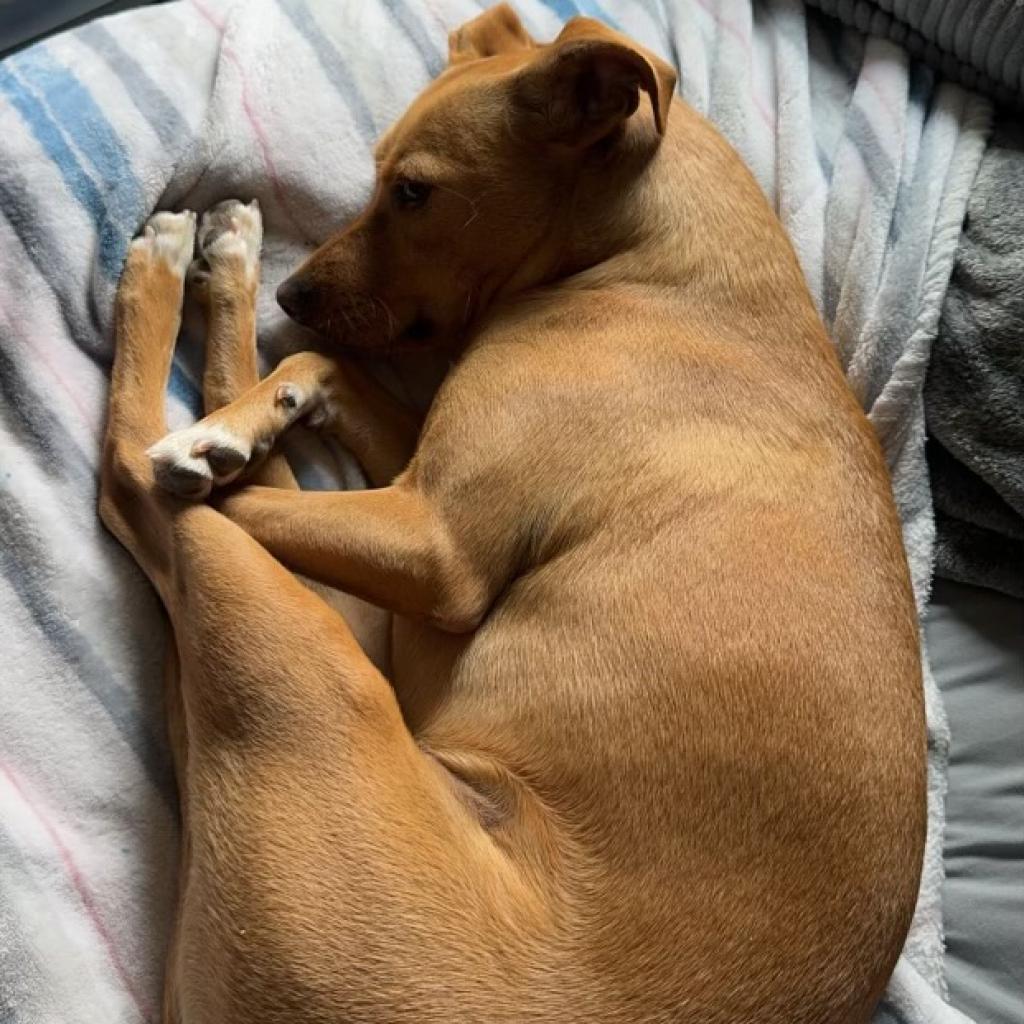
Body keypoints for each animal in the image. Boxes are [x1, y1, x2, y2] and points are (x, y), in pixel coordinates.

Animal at [99, 4, 925, 1019]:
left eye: (413, 192)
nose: (296, 294)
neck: (656, 263)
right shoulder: (415, 478)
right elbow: (316, 367)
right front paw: (260, 411)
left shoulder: (434, 543)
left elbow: (288, 404)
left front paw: (226, 427)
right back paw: (226, 287)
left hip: (316, 658)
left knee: (138, 480)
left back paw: (171, 291)